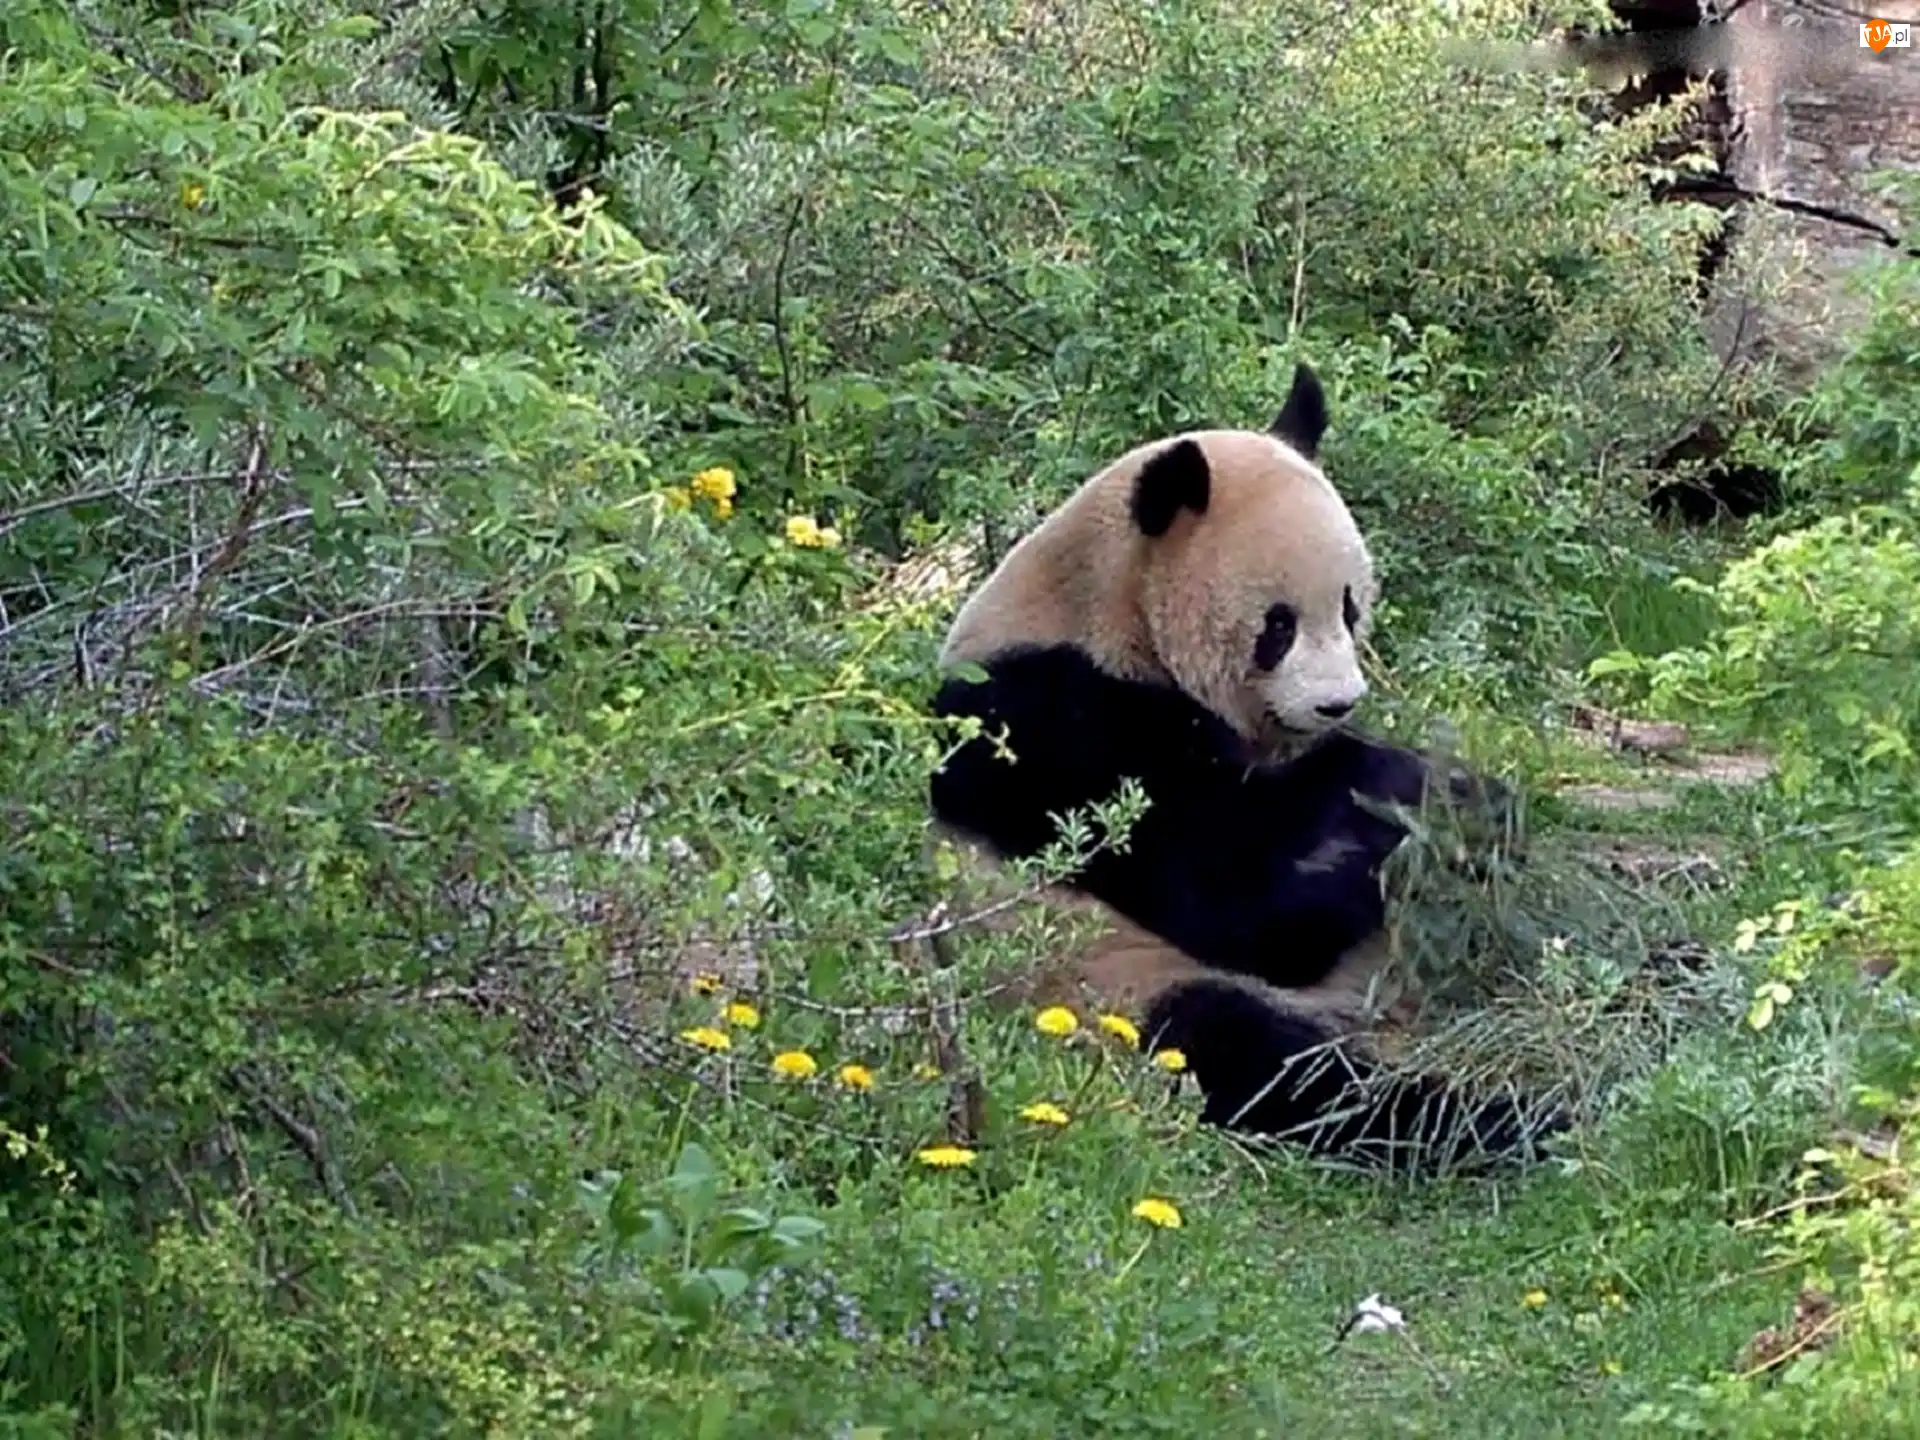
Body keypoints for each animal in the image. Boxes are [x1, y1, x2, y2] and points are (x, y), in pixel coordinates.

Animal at [925, 363, 1564, 1171]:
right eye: (1279, 626)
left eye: (1350, 608)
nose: (1337, 704)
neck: (1103, 610)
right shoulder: (1057, 730)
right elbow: (1233, 900)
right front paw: (1419, 796)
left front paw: (1476, 811)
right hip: (1108, 984)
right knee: (1266, 1061)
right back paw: (1503, 1120)